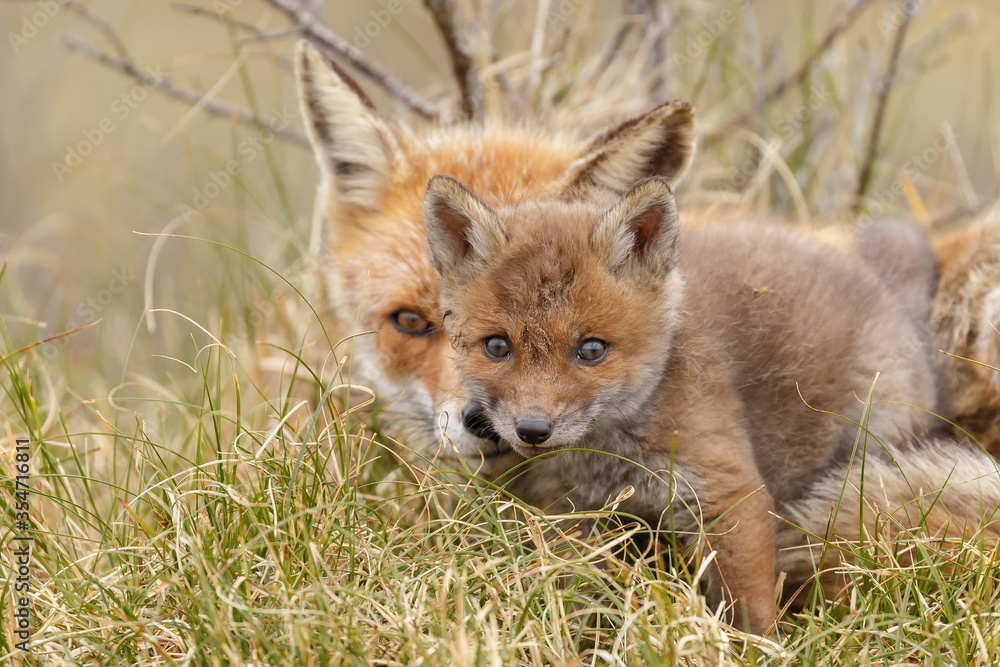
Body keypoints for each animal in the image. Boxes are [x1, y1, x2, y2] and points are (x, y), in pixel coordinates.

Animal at [420, 171, 944, 634]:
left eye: (591, 350)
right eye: (497, 347)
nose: (531, 430)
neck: (613, 457)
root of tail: (876, 282)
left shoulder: (729, 492)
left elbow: (749, 610)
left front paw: (757, 648)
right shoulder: (569, 513)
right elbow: (573, 595)